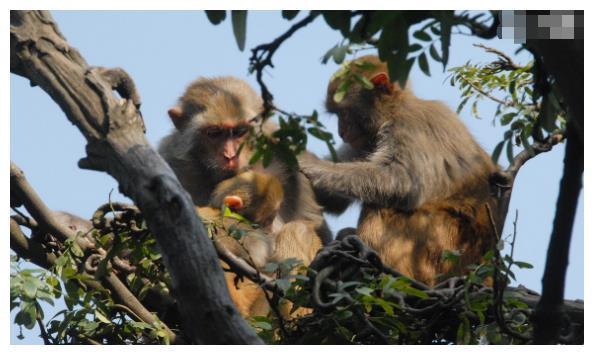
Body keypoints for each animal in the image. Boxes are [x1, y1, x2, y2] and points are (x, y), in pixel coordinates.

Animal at [158, 77, 332, 245]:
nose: (230, 156)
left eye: (240, 131)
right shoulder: (171, 159)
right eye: (214, 133)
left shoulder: (287, 155)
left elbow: (313, 224)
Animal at [298, 55, 498, 286]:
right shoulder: (366, 141)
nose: (341, 131)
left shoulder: (407, 126)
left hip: (443, 252)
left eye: (344, 112)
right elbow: (335, 200)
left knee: (384, 204)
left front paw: (305, 162)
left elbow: (403, 183)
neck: (394, 110)